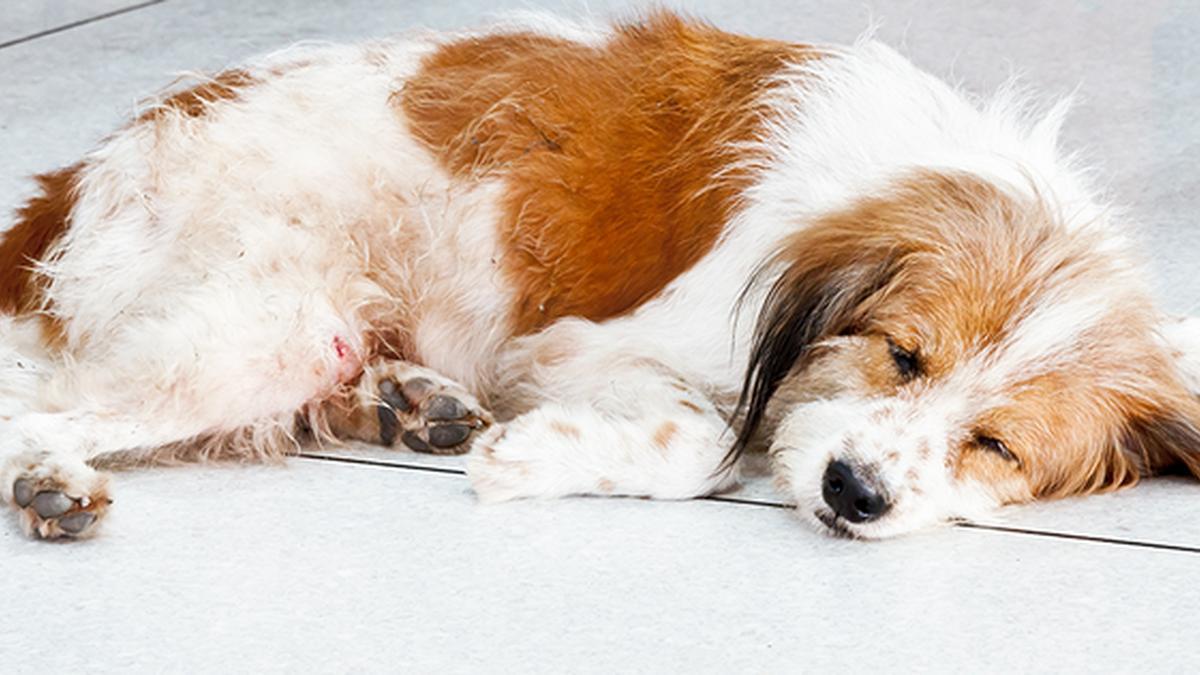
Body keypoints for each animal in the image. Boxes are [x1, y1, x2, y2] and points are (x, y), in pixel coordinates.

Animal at [2, 10, 1200, 538]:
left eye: (996, 444)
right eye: (903, 355)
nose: (852, 492)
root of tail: (74, 178)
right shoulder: (582, 343)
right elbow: (703, 445)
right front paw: (532, 456)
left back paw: (409, 400)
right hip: (264, 330)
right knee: (36, 403)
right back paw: (52, 481)